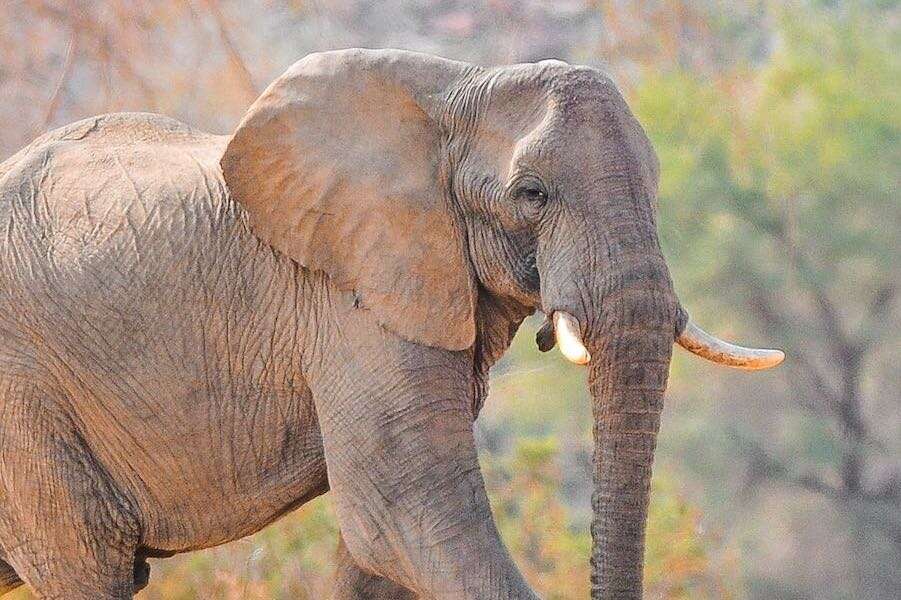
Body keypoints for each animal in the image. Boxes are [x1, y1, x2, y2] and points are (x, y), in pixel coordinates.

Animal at [0, 49, 783, 599]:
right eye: (531, 194)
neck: (459, 88)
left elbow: (378, 549)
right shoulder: (349, 299)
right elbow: (405, 516)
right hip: (25, 404)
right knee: (89, 562)